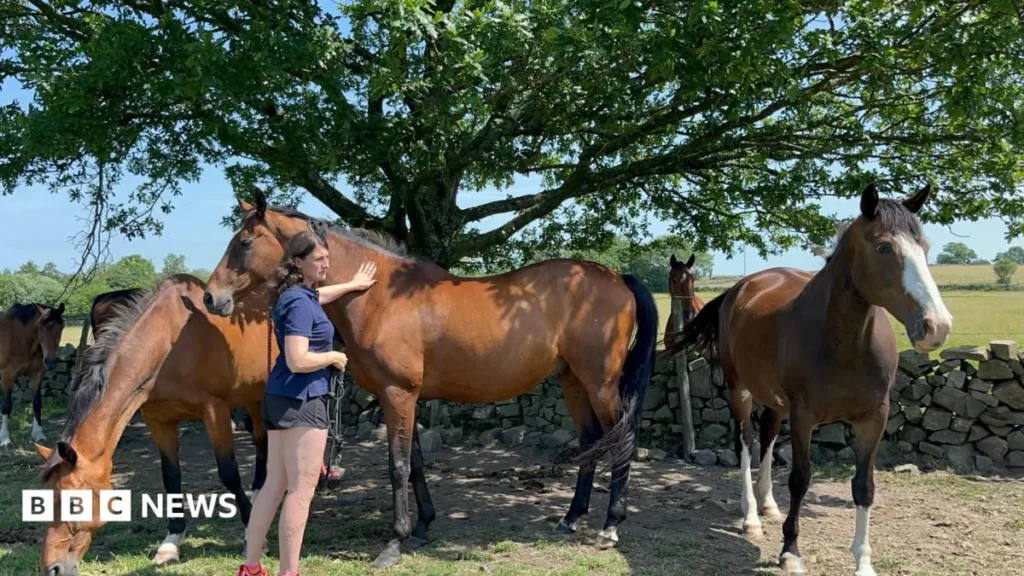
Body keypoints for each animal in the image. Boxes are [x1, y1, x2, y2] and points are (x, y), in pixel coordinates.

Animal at [0, 302, 66, 448]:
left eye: (61, 327)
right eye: (40, 328)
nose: (51, 362)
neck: (21, 339)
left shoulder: (37, 374)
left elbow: (37, 403)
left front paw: (38, 434)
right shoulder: (8, 375)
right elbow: (6, 405)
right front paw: (5, 438)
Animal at [35, 274, 275, 576]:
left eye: (71, 502)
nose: (52, 568)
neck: (170, 345)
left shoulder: (215, 411)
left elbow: (229, 473)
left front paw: (252, 536)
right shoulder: (159, 421)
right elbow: (171, 478)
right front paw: (170, 544)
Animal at [203, 189, 659, 567]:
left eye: (244, 242)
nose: (211, 297)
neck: (380, 296)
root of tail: (616, 277)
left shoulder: (397, 393)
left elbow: (398, 465)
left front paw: (395, 542)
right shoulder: (408, 397)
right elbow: (417, 462)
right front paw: (422, 527)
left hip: (600, 383)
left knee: (621, 440)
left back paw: (610, 525)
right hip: (572, 381)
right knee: (591, 441)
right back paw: (571, 517)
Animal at [670, 183, 952, 576]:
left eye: (924, 247)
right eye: (883, 247)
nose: (936, 326)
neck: (843, 343)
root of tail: (741, 287)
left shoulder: (874, 418)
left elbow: (864, 486)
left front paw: (863, 561)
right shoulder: (804, 416)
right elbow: (800, 478)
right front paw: (790, 551)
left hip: (775, 401)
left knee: (768, 437)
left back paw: (768, 505)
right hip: (741, 391)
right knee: (745, 443)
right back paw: (751, 516)